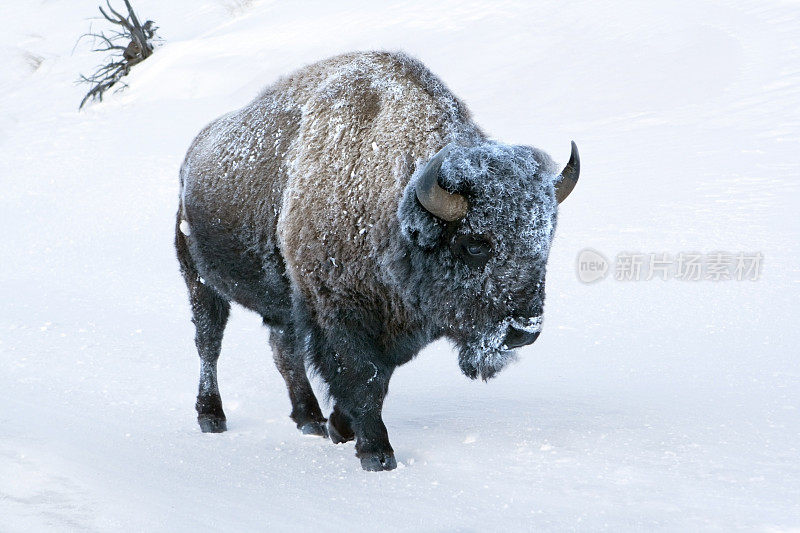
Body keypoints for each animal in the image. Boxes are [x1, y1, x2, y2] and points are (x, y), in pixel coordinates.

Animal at [175, 51, 580, 470]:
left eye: (545, 239)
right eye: (474, 244)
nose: (523, 331)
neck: (392, 203)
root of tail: (193, 155)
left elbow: (377, 379)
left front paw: (340, 428)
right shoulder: (339, 313)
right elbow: (363, 376)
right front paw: (377, 453)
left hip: (280, 304)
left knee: (283, 351)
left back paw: (310, 419)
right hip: (199, 281)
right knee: (209, 342)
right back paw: (212, 416)